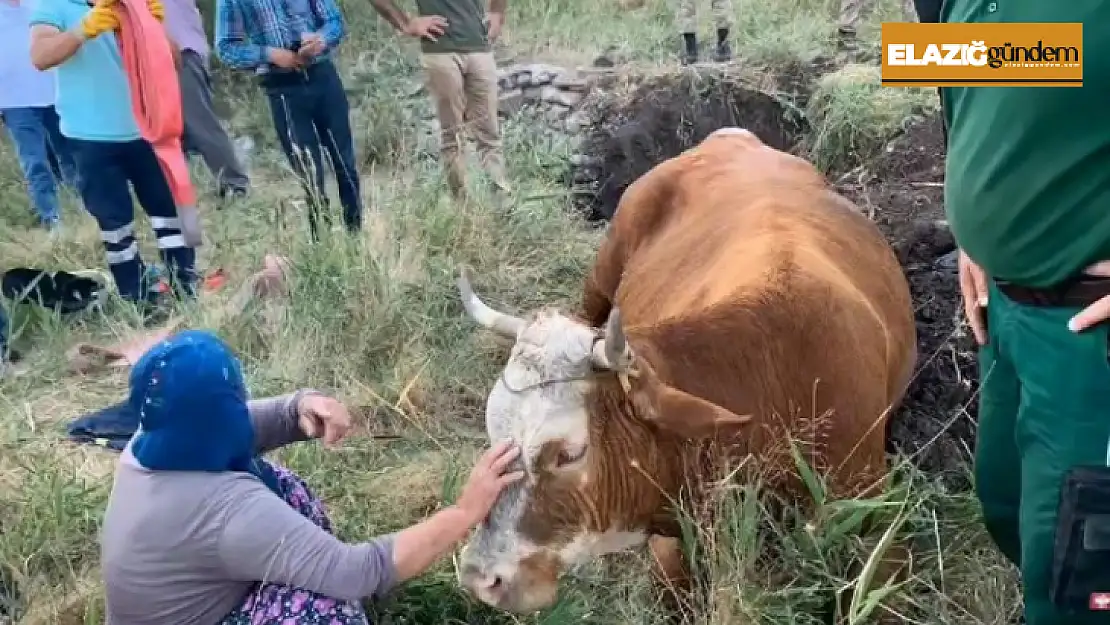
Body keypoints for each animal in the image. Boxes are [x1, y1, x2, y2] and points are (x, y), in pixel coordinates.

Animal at [455, 124, 914, 612]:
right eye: (493, 432)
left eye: (569, 453)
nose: (481, 578)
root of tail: (731, 136)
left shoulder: (875, 516)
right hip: (602, 271)